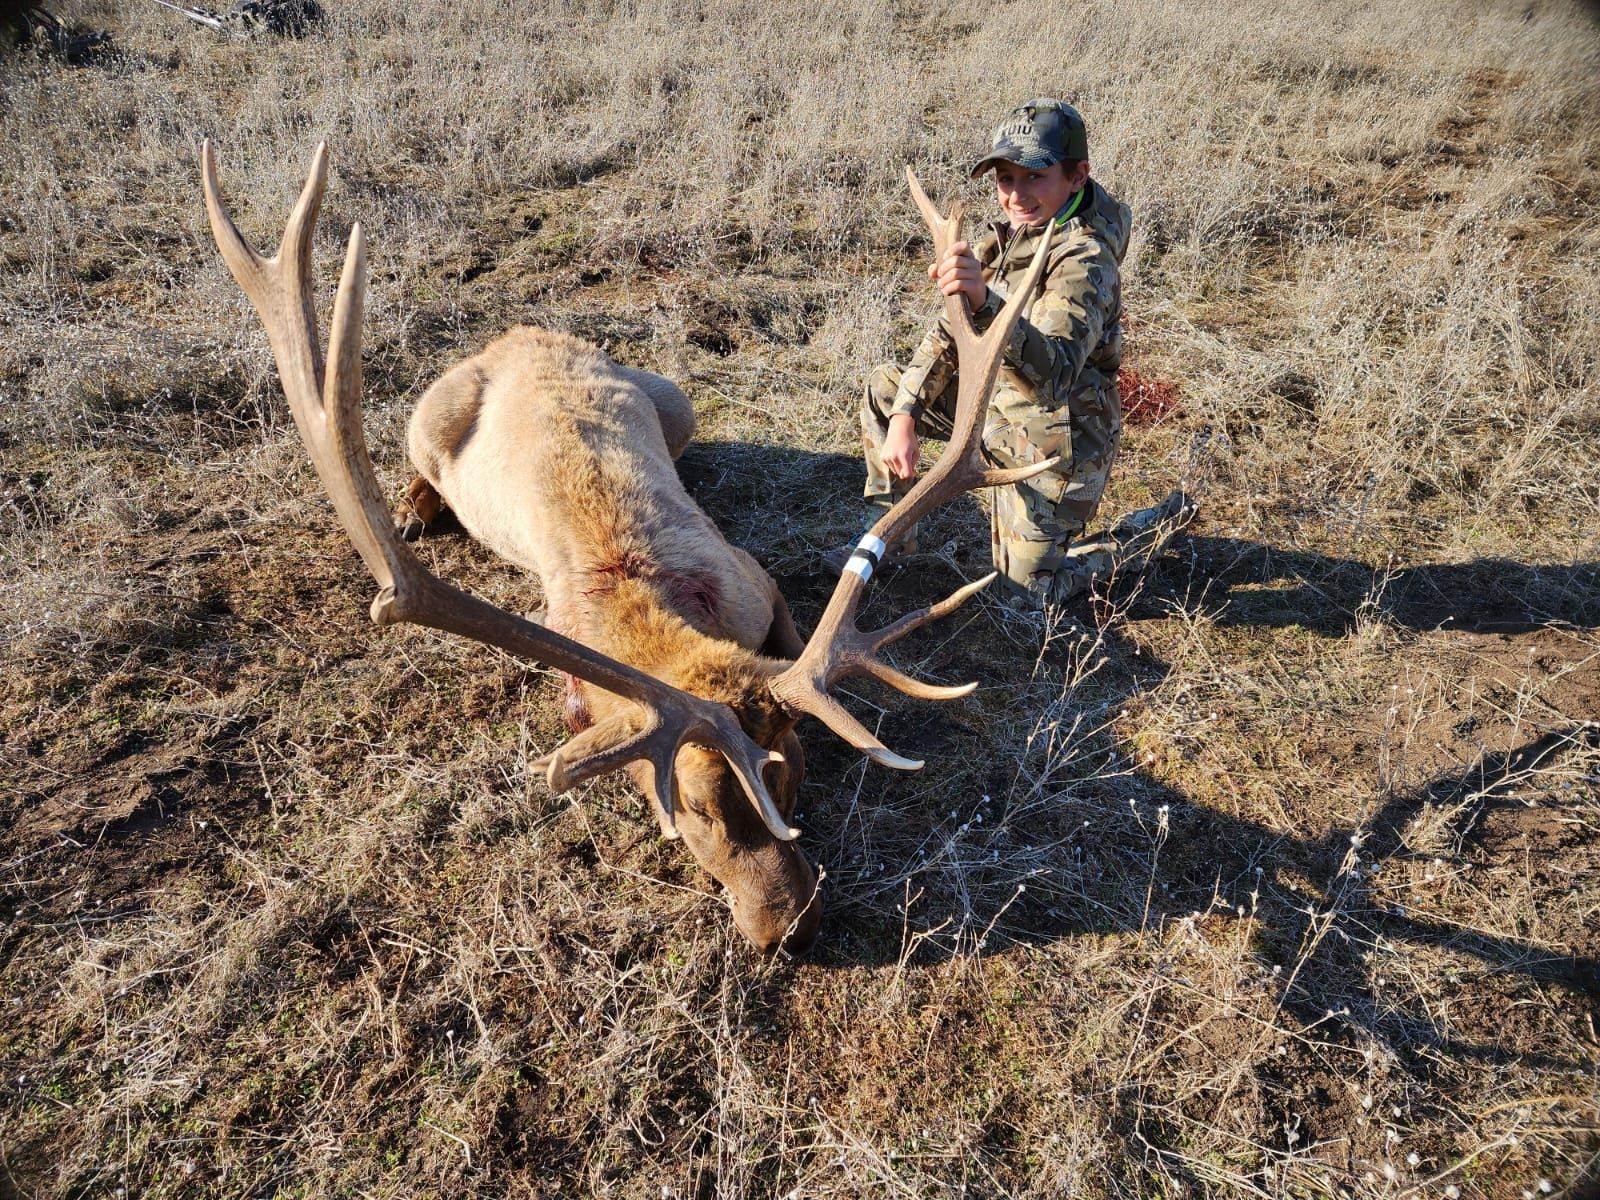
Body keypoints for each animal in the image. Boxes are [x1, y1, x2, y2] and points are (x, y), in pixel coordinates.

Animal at [200, 140, 1057, 954]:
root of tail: (514, 335)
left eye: (792, 772)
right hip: (425, 419)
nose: (790, 930)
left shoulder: (755, 580)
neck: (643, 595)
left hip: (671, 399)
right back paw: (413, 512)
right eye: (690, 809)